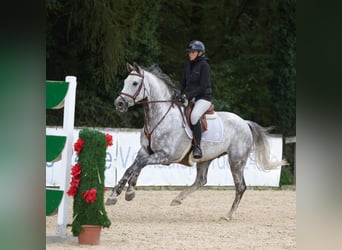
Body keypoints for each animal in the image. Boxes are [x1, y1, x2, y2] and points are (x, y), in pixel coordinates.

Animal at [106, 62, 286, 221]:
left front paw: (126, 193)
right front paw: (118, 194)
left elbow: (138, 165)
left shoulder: (166, 155)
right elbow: (132, 167)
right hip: (206, 158)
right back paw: (177, 199)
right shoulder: (145, 151)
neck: (160, 116)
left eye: (135, 83)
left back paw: (228, 215)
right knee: (201, 180)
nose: (119, 104)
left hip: (236, 160)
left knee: (240, 186)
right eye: (125, 82)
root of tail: (244, 122)